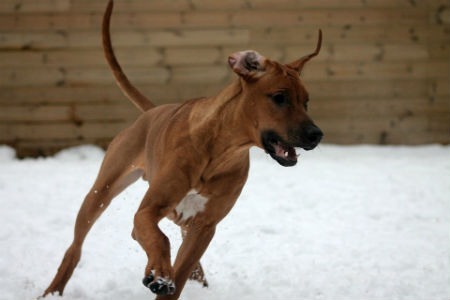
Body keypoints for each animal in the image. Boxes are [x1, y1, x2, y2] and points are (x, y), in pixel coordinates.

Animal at [43, 1, 324, 298]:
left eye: (306, 102)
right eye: (279, 97)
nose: (316, 135)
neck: (219, 151)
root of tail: (152, 111)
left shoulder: (204, 227)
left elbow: (180, 269)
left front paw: (168, 278)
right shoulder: (148, 211)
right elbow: (158, 237)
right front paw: (159, 272)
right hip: (101, 192)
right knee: (77, 247)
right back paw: (53, 290)